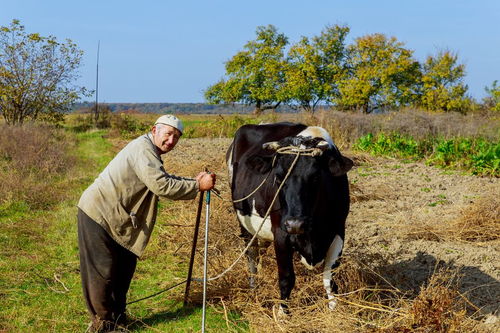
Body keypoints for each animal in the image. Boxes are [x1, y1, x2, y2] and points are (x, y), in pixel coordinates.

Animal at [227, 122, 352, 312]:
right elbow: (287, 278)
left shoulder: (338, 231)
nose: (295, 224)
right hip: (244, 222)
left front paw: (334, 309)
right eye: (278, 177)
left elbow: (330, 279)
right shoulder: (281, 234)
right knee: (252, 255)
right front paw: (282, 313)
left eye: (316, 177)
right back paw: (253, 286)